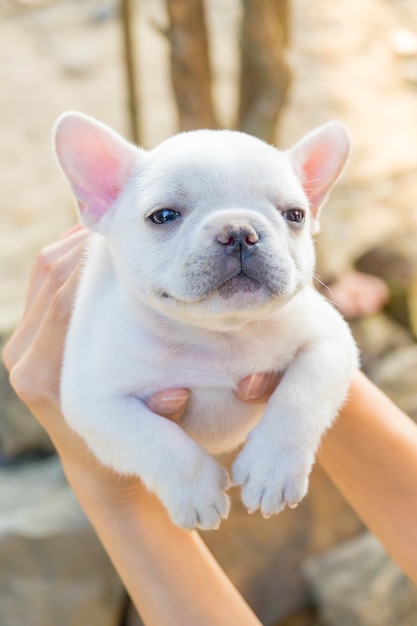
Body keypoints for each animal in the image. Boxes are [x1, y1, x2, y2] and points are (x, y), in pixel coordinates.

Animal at [52, 112, 358, 528]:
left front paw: (271, 471)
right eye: (163, 216)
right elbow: (151, 438)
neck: (218, 335)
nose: (239, 231)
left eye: (295, 215)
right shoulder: (94, 401)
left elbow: (302, 395)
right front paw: (197, 492)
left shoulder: (330, 341)